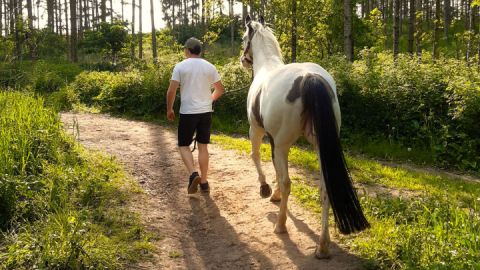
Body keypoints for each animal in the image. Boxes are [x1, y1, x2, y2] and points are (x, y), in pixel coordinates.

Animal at [240, 15, 372, 260]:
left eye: (244, 37)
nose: (242, 60)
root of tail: (309, 78)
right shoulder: (274, 140)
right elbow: (275, 167)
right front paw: (274, 194)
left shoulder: (258, 132)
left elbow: (257, 158)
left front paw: (266, 189)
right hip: (319, 147)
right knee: (324, 189)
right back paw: (322, 246)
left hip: (282, 143)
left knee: (287, 182)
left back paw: (280, 226)